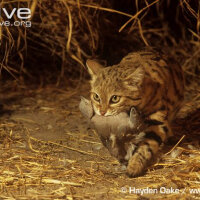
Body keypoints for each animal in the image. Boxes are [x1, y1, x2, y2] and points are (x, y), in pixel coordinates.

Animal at [86, 49, 184, 177]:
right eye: (96, 97)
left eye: (115, 98)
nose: (102, 112)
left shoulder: (157, 122)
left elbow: (146, 146)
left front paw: (134, 165)